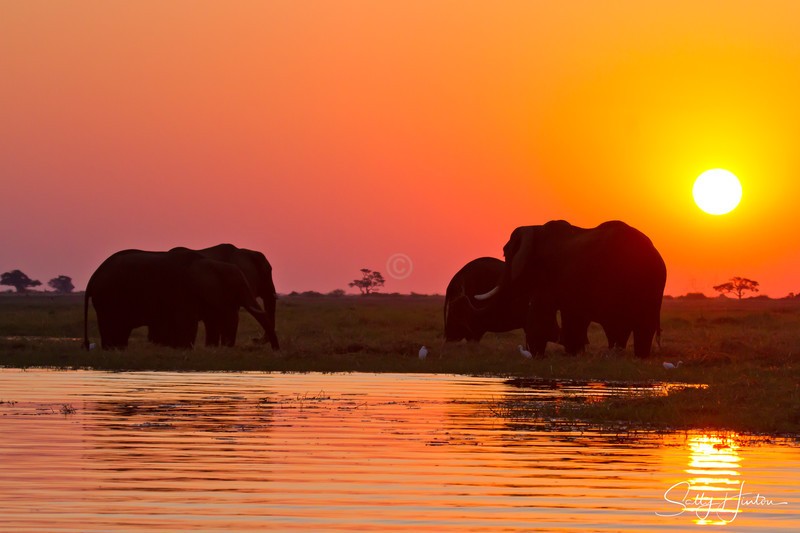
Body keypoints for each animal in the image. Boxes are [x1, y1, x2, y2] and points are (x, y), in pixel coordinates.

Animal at [474, 220, 666, 358]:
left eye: (505, 254)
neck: (535, 228)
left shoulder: (548, 274)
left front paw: (537, 355)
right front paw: (573, 352)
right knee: (637, 325)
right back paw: (634, 356)